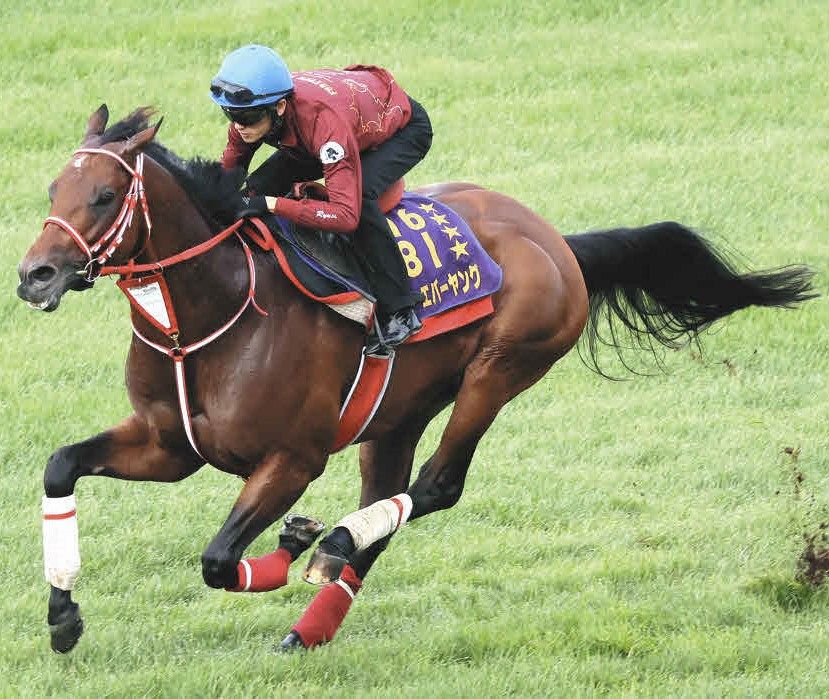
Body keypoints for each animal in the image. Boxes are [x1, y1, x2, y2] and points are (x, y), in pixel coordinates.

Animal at [17, 106, 815, 653]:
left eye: (103, 196)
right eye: (53, 187)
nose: (36, 275)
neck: (209, 315)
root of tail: (555, 238)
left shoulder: (293, 458)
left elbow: (218, 561)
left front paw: (292, 541)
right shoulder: (168, 446)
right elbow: (60, 465)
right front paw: (63, 615)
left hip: (501, 367)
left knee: (435, 486)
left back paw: (328, 545)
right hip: (396, 412)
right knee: (387, 501)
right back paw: (315, 611)